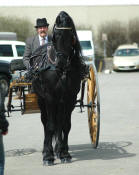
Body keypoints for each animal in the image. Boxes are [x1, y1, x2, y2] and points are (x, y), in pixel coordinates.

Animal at [31, 11, 85, 165]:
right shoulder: (50, 97)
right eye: (56, 35)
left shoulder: (70, 98)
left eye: (71, 35)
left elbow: (65, 125)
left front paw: (64, 153)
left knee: (59, 123)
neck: (62, 71)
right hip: (42, 99)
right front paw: (48, 156)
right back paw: (48, 150)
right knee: (46, 122)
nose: (61, 62)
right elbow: (50, 126)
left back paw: (58, 149)